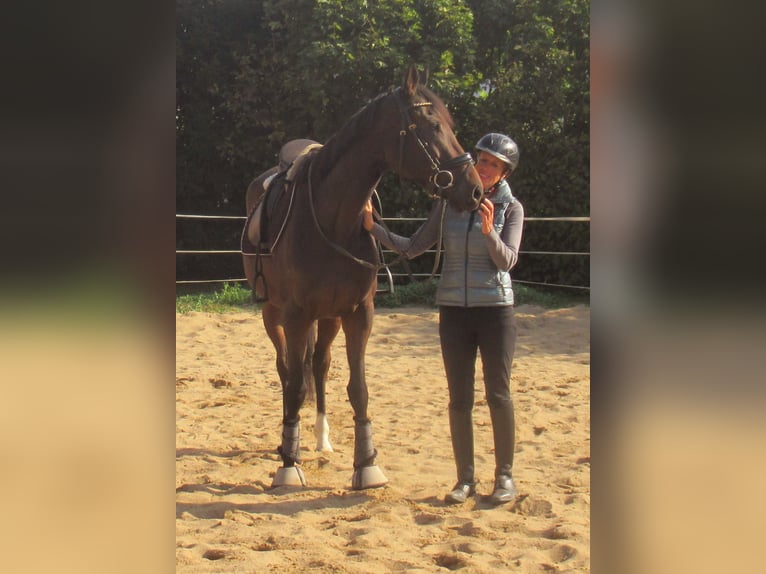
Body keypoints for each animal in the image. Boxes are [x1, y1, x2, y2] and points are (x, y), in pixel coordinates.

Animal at [241, 64, 483, 489]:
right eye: (431, 125)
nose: (474, 189)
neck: (332, 219)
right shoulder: (296, 315)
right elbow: (295, 384)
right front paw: (288, 464)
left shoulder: (357, 313)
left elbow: (358, 388)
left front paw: (366, 464)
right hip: (273, 313)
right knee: (286, 370)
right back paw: (288, 440)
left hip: (329, 318)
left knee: (319, 365)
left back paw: (320, 439)